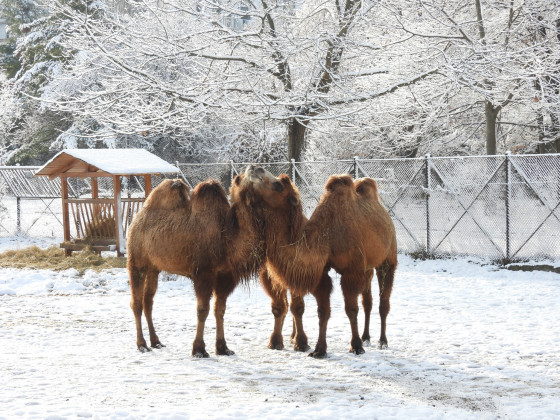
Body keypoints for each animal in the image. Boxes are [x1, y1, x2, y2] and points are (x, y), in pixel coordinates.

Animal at [127, 171, 264, 358]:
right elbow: (202, 310)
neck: (227, 238)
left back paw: (156, 342)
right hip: (136, 262)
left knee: (148, 301)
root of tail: (135, 220)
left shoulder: (225, 275)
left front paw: (223, 348)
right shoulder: (203, 274)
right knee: (136, 303)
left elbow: (220, 309)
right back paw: (142, 344)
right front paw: (199, 349)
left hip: (154, 268)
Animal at [248, 167, 398, 358]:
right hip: (368, 268)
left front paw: (356, 346)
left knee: (383, 302)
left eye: (279, 185)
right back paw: (366, 338)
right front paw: (319, 349)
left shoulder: (351, 272)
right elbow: (323, 312)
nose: (256, 168)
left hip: (388, 260)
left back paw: (382, 341)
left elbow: (351, 310)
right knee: (368, 302)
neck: (326, 236)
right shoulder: (322, 273)